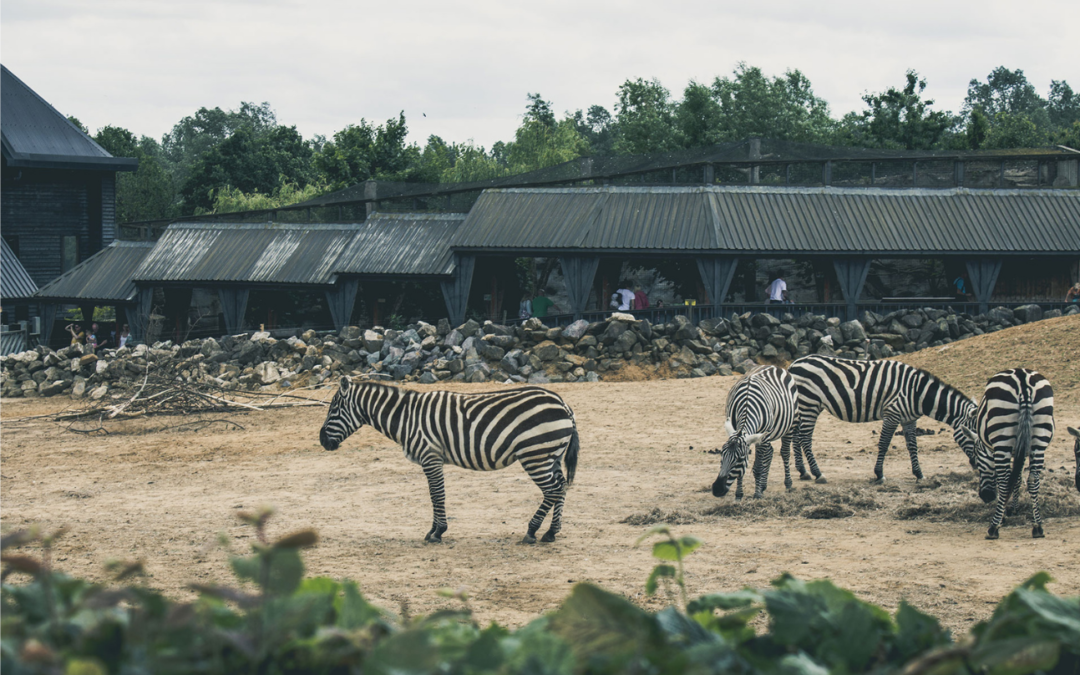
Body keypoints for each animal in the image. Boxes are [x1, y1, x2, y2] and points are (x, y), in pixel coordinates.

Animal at [315, 375, 578, 544]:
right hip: (551, 456)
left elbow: (436, 494)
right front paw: (435, 530)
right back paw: (551, 532)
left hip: (535, 455)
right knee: (562, 487)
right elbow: (435, 495)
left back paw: (532, 531)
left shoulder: (430, 456)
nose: (322, 440)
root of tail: (562, 402)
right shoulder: (432, 459)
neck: (407, 417)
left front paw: (437, 532)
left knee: (553, 489)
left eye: (333, 409)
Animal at [712, 365, 799, 496]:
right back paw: (763, 485)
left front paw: (757, 495)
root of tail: (772, 366)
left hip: (789, 426)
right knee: (769, 452)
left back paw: (788, 484)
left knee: (784, 452)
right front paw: (739, 494)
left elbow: (758, 468)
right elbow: (743, 470)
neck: (747, 404)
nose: (717, 489)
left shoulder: (763, 437)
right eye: (722, 454)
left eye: (739, 459)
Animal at [786, 352, 980, 483]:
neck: (918, 393)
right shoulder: (892, 413)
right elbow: (884, 443)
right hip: (809, 403)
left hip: (804, 406)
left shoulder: (909, 419)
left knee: (797, 437)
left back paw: (803, 472)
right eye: (974, 439)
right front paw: (879, 474)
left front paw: (919, 474)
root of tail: (794, 364)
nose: (977, 469)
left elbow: (912, 446)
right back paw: (818, 473)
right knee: (805, 438)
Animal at [963, 365, 1054, 540]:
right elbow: (1017, 478)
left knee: (1005, 482)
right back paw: (1038, 527)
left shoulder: (998, 450)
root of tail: (1022, 378)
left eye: (976, 462)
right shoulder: (1021, 450)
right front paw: (1013, 508)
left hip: (1002, 435)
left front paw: (1003, 515)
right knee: (1033, 480)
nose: (986, 496)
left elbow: (1005, 479)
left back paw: (993, 529)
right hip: (1040, 436)